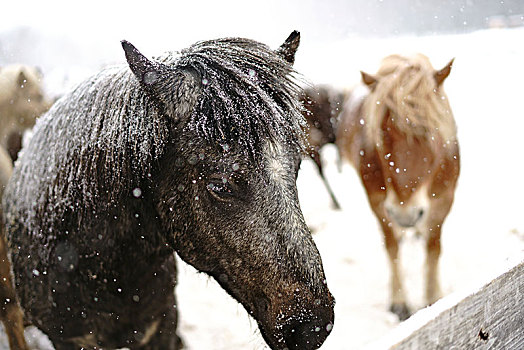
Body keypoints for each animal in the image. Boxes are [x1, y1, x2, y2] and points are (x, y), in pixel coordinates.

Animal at [338, 54, 460, 320]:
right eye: (381, 135)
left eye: (431, 132)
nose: (405, 213)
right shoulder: (379, 203)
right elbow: (392, 247)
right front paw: (399, 301)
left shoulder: (443, 200)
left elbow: (433, 248)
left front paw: (433, 298)